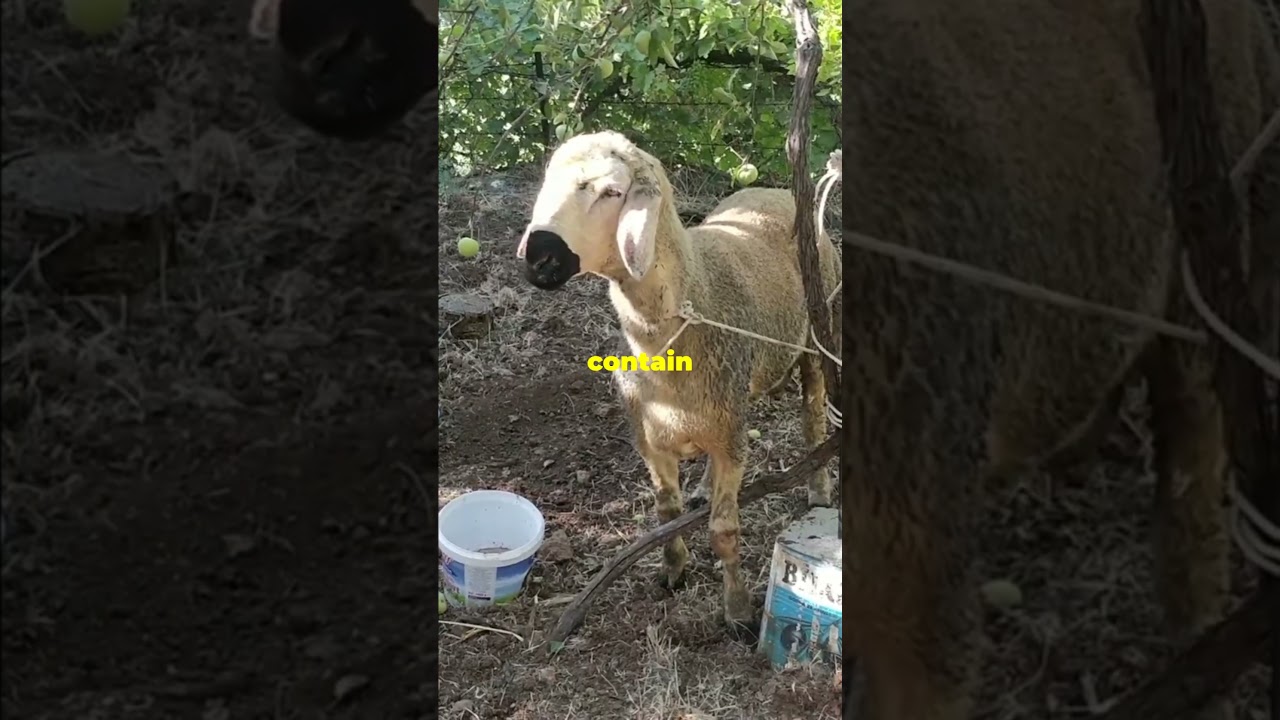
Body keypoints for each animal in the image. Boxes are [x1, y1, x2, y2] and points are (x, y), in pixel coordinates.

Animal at [516, 131, 840, 633]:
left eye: (612, 191)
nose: (538, 256)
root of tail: (775, 191)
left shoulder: (728, 440)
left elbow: (724, 530)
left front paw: (737, 610)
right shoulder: (652, 442)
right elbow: (665, 510)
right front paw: (674, 569)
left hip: (817, 333)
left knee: (812, 414)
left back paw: (819, 490)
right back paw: (705, 486)